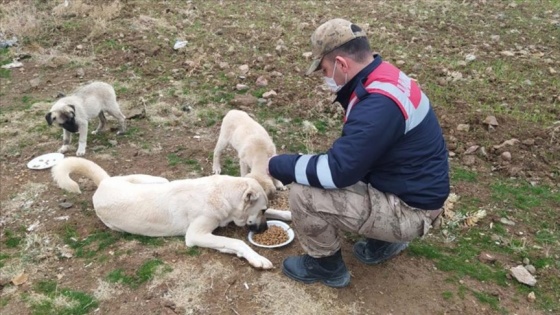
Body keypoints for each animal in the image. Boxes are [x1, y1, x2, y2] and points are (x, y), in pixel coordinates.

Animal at [50, 158, 290, 270]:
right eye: (261, 210)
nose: (265, 229)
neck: (221, 193)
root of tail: (104, 183)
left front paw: (287, 213)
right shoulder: (196, 235)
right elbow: (236, 242)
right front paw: (257, 258)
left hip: (157, 180)